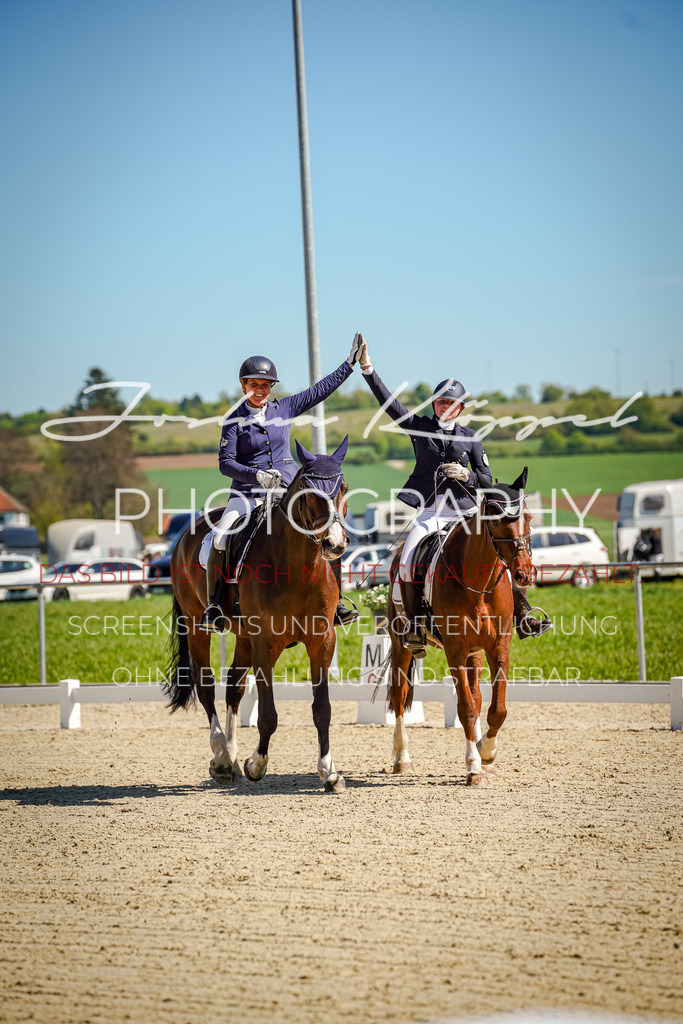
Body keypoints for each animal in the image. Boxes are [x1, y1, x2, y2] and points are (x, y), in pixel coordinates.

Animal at [163, 434, 350, 790]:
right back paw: (223, 757)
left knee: (234, 687)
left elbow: (323, 708)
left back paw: (231, 757)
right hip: (196, 626)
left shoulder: (322, 641)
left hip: (243, 637)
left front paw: (329, 771)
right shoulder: (266, 643)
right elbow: (268, 714)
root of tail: (186, 533)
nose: (333, 544)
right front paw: (257, 764)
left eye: (343, 488)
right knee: (206, 686)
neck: (298, 568)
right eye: (309, 491)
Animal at [387, 468, 536, 782]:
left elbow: (496, 709)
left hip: (474, 653)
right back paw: (402, 759)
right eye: (497, 519)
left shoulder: (498, 647)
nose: (525, 573)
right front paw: (474, 766)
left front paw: (485, 752)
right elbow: (465, 708)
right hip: (401, 645)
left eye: (527, 517)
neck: (478, 585)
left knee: (478, 696)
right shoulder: (454, 650)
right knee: (398, 696)